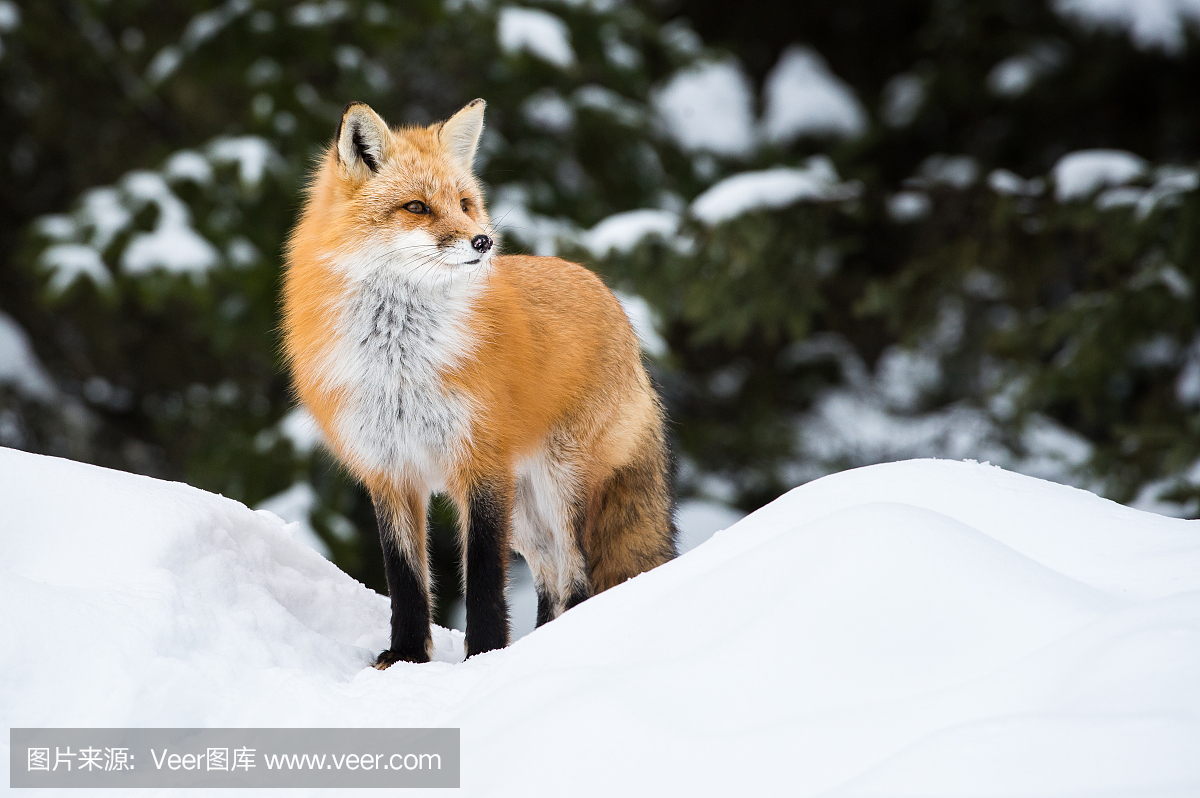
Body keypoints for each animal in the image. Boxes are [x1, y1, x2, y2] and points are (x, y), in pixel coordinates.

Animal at [278, 97, 676, 657]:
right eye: (416, 207)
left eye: (465, 204)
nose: (483, 241)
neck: (400, 365)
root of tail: (612, 301)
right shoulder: (389, 470)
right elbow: (405, 578)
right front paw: (406, 657)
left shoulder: (482, 463)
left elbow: (484, 577)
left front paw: (484, 654)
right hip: (527, 515)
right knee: (554, 581)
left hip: (559, 486)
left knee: (578, 576)